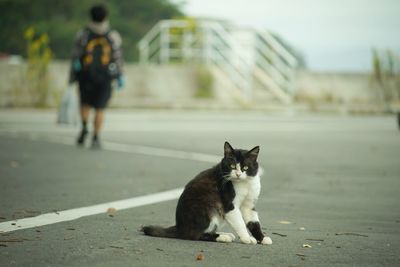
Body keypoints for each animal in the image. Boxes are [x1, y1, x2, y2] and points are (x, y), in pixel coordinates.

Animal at [142, 142, 274, 247]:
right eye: (232, 166)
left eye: (245, 167)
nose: (238, 174)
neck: (245, 184)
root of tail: (180, 227)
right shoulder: (229, 205)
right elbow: (240, 222)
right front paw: (246, 238)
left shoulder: (249, 205)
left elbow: (254, 222)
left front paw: (262, 238)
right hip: (207, 209)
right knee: (195, 235)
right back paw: (223, 237)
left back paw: (225, 234)